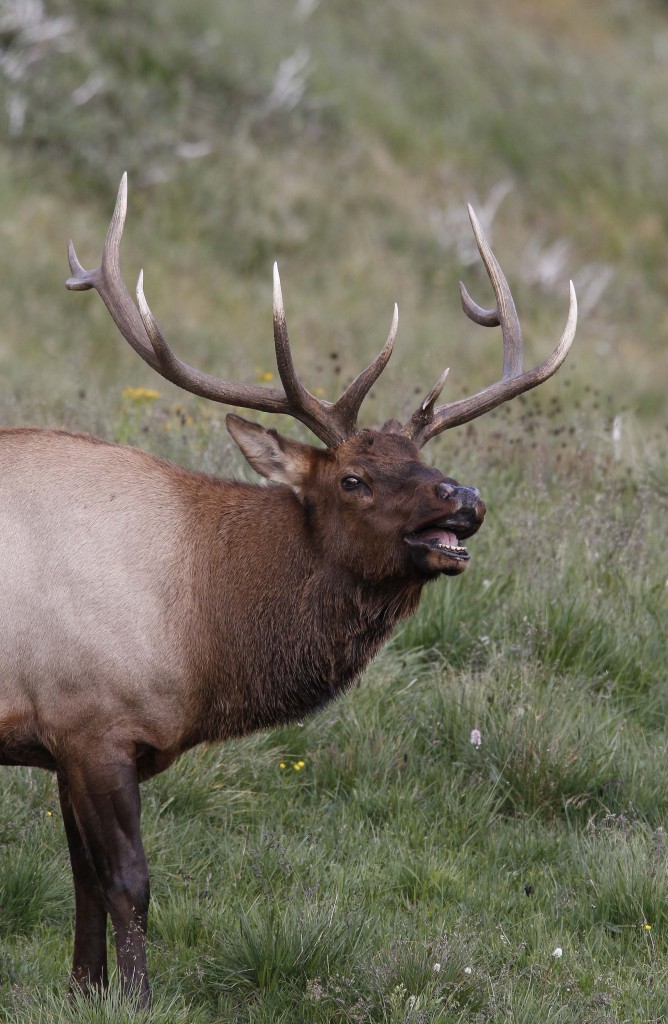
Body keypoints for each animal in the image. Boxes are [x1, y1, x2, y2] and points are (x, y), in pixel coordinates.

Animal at [0, 174, 573, 999]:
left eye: (426, 464)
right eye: (353, 478)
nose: (464, 498)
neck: (205, 636)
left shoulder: (65, 740)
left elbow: (82, 881)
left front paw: (84, 987)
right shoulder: (92, 722)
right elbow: (128, 881)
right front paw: (135, 997)